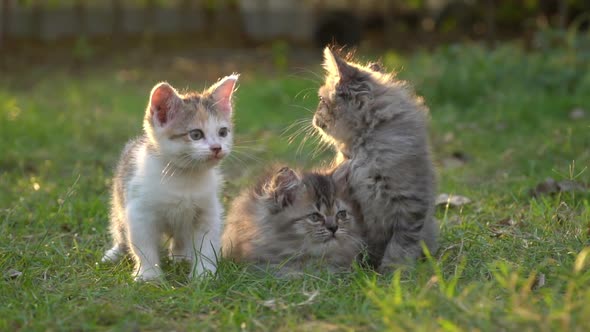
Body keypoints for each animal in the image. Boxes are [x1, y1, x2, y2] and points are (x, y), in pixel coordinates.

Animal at [103, 74, 239, 282]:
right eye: (196, 134)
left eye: (222, 132)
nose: (217, 148)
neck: (183, 177)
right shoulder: (139, 211)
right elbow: (143, 244)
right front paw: (149, 275)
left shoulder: (208, 210)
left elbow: (207, 244)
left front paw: (204, 274)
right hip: (119, 199)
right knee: (120, 229)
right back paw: (115, 253)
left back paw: (182, 256)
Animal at [314, 48, 440, 272]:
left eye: (321, 100)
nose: (314, 119)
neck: (363, 149)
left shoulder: (409, 201)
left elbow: (401, 243)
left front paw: (394, 270)